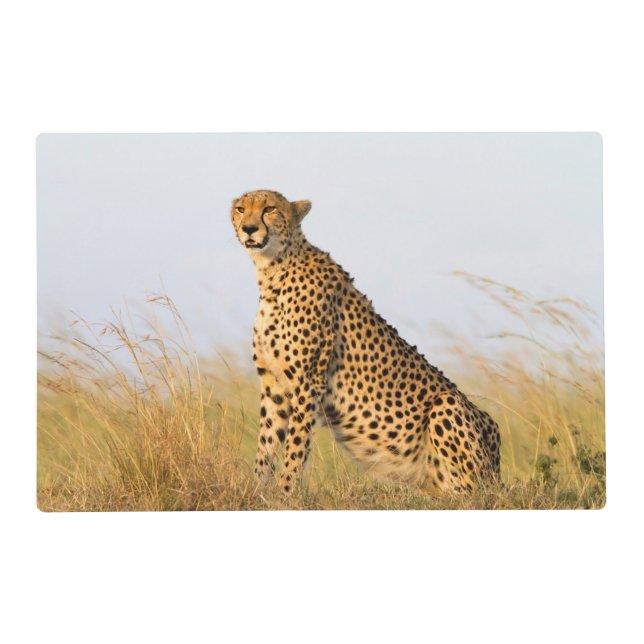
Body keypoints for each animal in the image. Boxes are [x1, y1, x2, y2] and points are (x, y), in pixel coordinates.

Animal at [231, 189, 501, 495]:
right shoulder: (273, 384)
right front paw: (256, 491)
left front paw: (287, 493)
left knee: (471, 493)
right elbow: (267, 443)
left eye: (270, 209)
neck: (273, 269)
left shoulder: (307, 382)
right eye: (241, 209)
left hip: (449, 407)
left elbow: (296, 446)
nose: (249, 228)